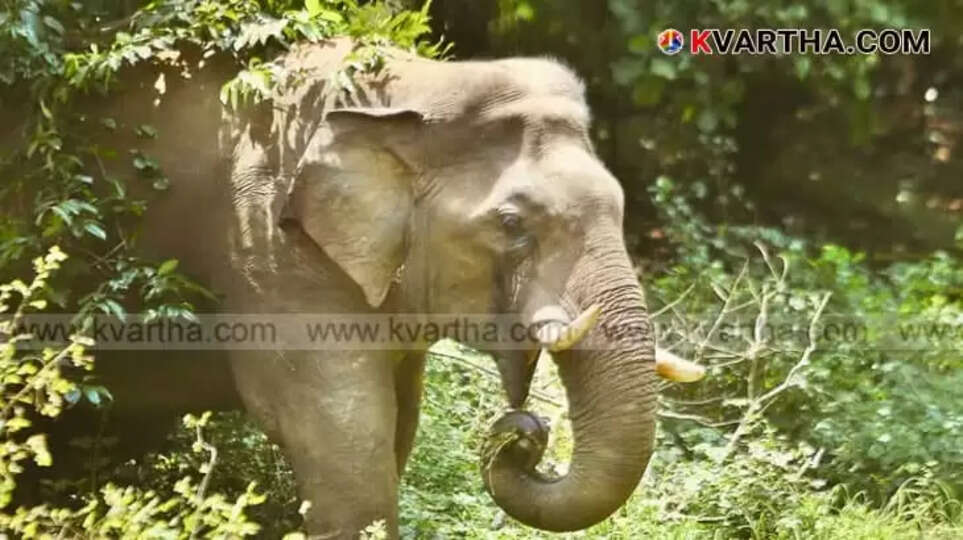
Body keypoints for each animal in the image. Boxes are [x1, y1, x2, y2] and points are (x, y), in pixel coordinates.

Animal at [31, 38, 704, 537]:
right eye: (513, 224)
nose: (527, 432)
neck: (412, 90)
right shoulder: (270, 249)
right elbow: (347, 445)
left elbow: (395, 430)